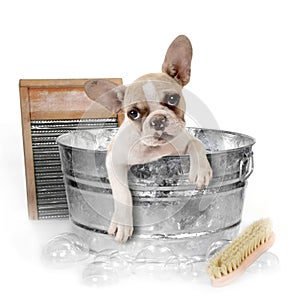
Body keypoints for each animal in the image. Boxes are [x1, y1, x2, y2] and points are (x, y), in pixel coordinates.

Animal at [83, 34, 212, 242]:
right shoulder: (114, 160)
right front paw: (122, 223)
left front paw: (200, 169)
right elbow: (122, 192)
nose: (158, 120)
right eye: (133, 113)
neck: (154, 149)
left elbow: (197, 143)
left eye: (173, 99)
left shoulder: (182, 140)